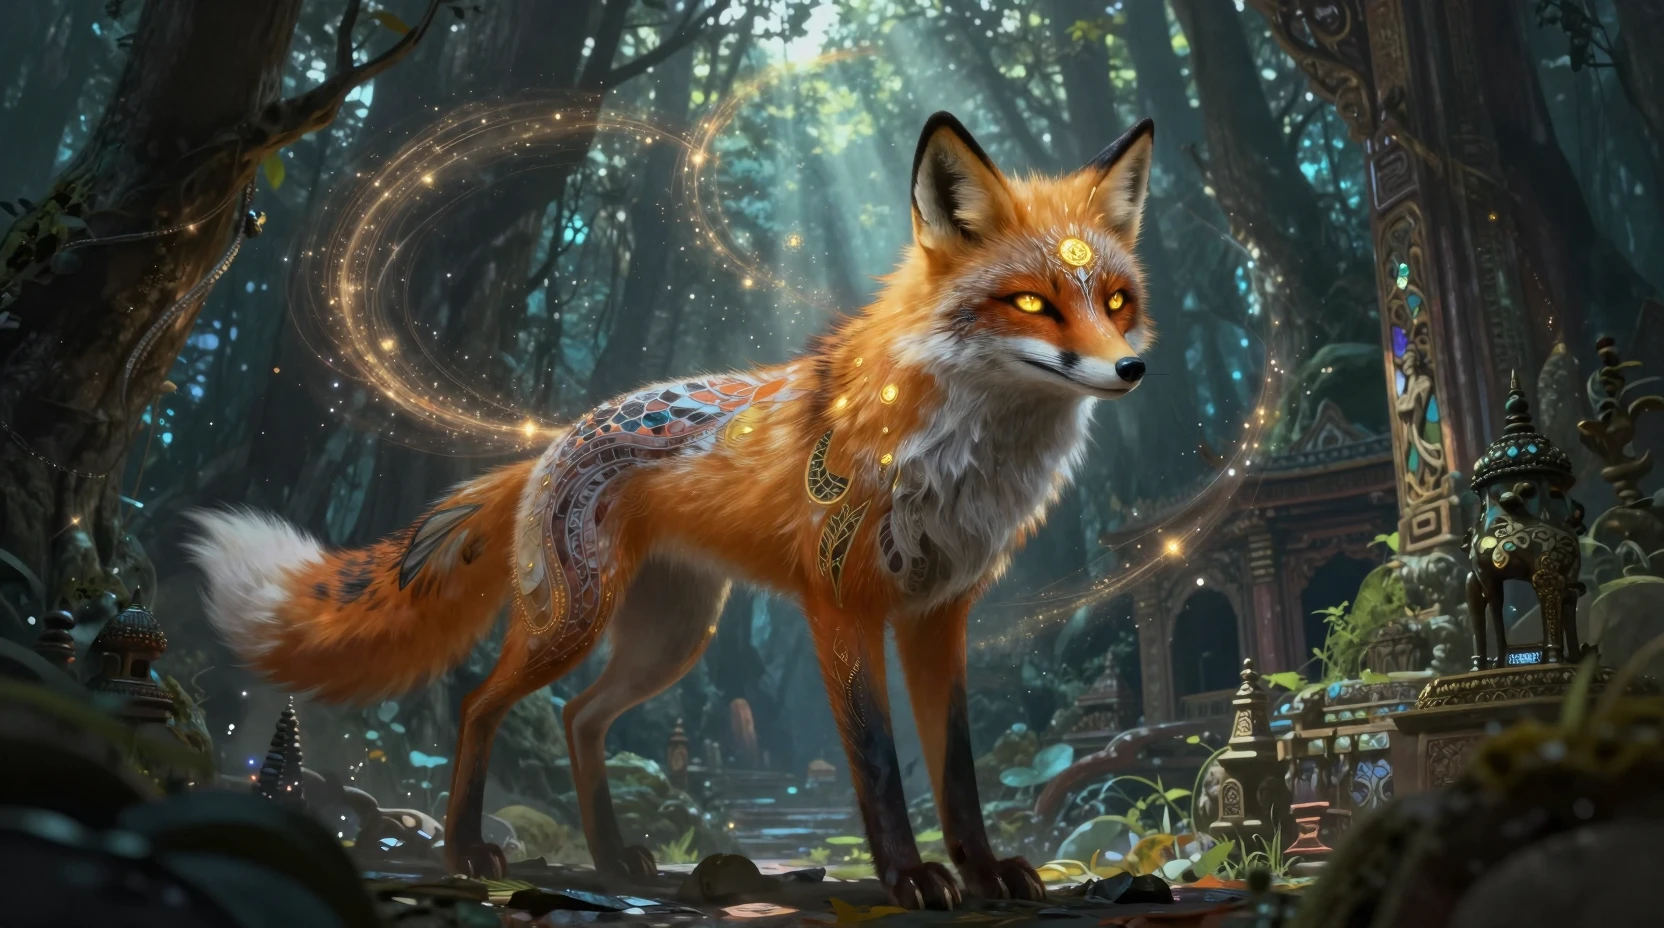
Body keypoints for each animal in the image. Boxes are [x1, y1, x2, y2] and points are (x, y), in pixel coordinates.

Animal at [185, 111, 1155, 909]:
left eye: (1116, 302)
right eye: (1030, 302)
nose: (1132, 370)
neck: (955, 454)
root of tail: (553, 442)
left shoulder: (938, 615)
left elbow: (955, 772)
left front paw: (984, 872)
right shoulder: (842, 606)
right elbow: (880, 767)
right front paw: (910, 878)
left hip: (669, 640)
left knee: (579, 717)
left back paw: (613, 858)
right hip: (574, 619)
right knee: (480, 707)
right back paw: (468, 850)